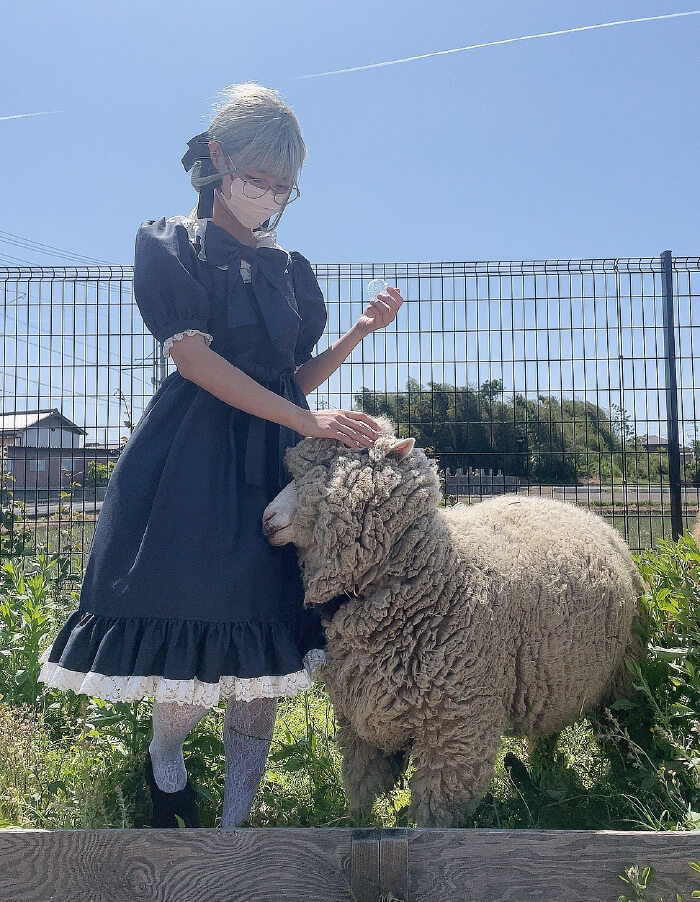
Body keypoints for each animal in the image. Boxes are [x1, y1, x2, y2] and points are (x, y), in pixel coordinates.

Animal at [262, 416, 648, 827]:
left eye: (327, 467)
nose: (265, 520)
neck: (432, 573)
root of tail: (584, 514)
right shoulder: (360, 720)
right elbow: (362, 790)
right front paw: (356, 826)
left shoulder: (456, 724)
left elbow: (438, 810)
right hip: (559, 682)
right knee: (548, 733)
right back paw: (545, 776)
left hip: (622, 681)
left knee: (625, 731)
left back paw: (628, 781)